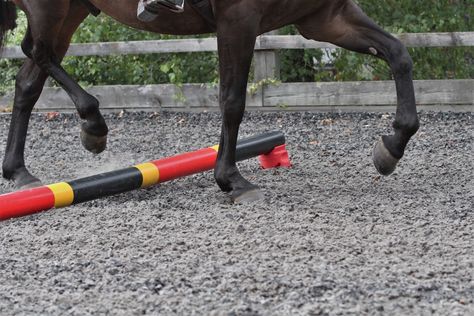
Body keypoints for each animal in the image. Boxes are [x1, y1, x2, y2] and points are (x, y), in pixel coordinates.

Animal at [1, 0, 420, 202]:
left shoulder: (326, 18)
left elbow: (399, 54)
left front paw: (391, 147)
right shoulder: (239, 19)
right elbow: (232, 101)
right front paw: (231, 179)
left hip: (69, 11)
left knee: (29, 79)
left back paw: (20, 172)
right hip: (49, 7)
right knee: (36, 51)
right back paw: (93, 124)